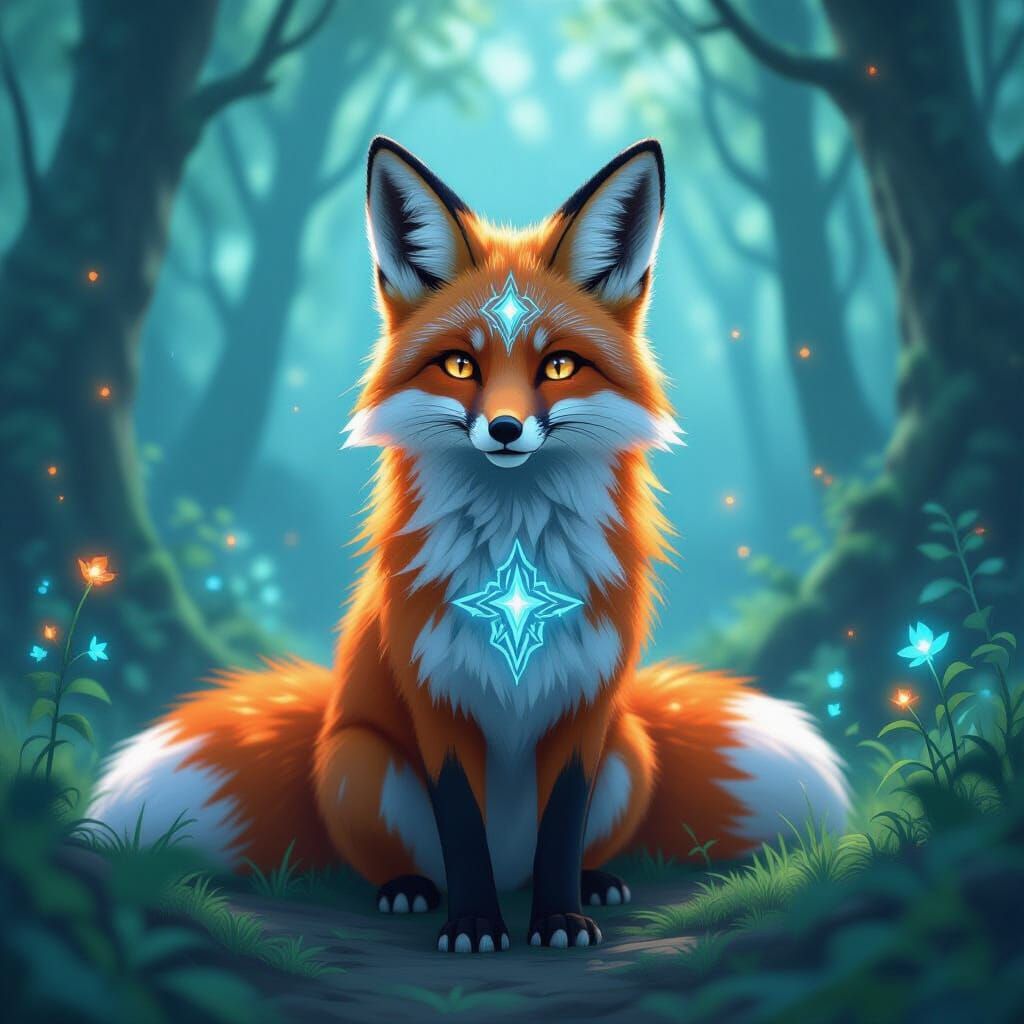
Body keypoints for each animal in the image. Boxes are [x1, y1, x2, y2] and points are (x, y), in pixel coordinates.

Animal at [89, 136, 849, 954]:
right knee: (412, 858)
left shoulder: (585, 706)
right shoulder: (437, 697)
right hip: (359, 762)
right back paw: (409, 890)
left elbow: (563, 825)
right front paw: (476, 926)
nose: (506, 429)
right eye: (460, 365)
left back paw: (594, 882)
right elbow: (460, 825)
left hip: (631, 746)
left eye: (558, 365)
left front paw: (559, 919)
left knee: (566, 844)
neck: (514, 571)